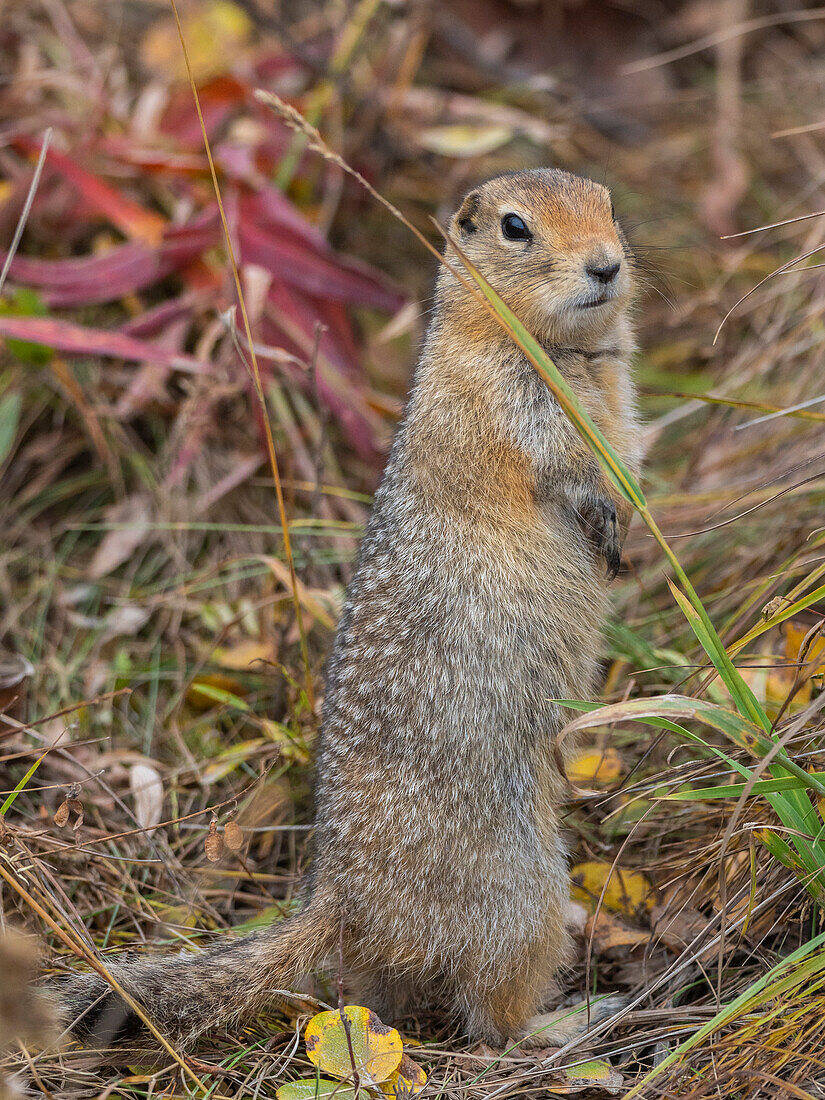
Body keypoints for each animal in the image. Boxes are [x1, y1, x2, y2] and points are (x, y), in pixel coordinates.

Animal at [58, 169, 646, 1047]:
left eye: (608, 204)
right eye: (515, 228)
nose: (606, 265)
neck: (560, 349)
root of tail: (336, 898)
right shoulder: (508, 403)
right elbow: (560, 466)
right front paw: (602, 516)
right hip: (520, 888)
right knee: (490, 1017)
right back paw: (570, 1022)